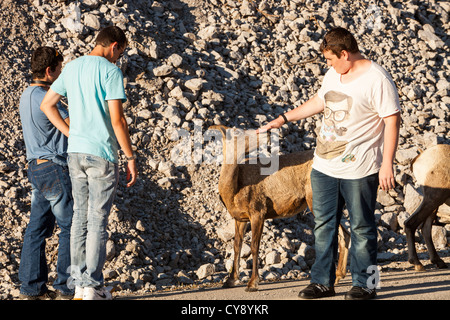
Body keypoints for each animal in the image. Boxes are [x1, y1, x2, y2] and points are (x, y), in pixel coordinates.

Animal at [209, 125, 350, 292]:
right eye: (237, 131)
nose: (267, 132)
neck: (234, 188)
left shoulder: (258, 212)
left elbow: (254, 246)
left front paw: (252, 284)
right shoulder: (240, 218)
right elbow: (237, 246)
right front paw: (230, 281)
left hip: (316, 201)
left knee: (339, 234)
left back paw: (336, 278)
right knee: (345, 233)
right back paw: (339, 276)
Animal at [404, 144, 450, 272]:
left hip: (434, 203)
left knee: (425, 228)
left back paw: (439, 262)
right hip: (434, 198)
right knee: (411, 224)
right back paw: (417, 263)